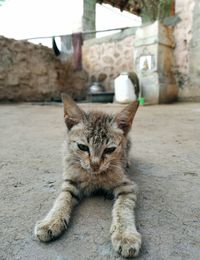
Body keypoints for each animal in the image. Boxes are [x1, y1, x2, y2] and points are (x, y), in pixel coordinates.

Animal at [34, 94, 141, 258]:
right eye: (82, 147)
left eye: (109, 150)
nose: (95, 165)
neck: (94, 176)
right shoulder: (70, 181)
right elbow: (62, 199)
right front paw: (51, 221)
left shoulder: (127, 186)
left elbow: (123, 208)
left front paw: (125, 235)